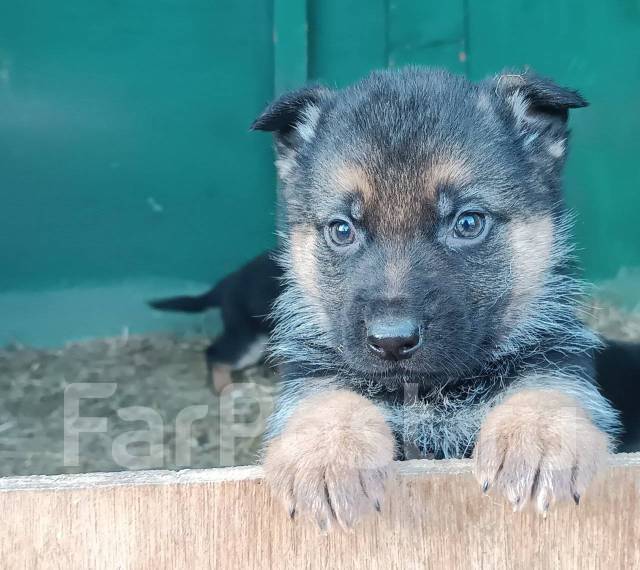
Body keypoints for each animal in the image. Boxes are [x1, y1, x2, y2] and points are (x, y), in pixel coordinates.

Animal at [252, 67, 624, 528]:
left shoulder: (555, 355)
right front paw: (324, 455)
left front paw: (538, 437)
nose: (392, 342)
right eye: (341, 230)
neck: (425, 392)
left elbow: (546, 388)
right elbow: (327, 399)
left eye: (468, 223)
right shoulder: (313, 374)